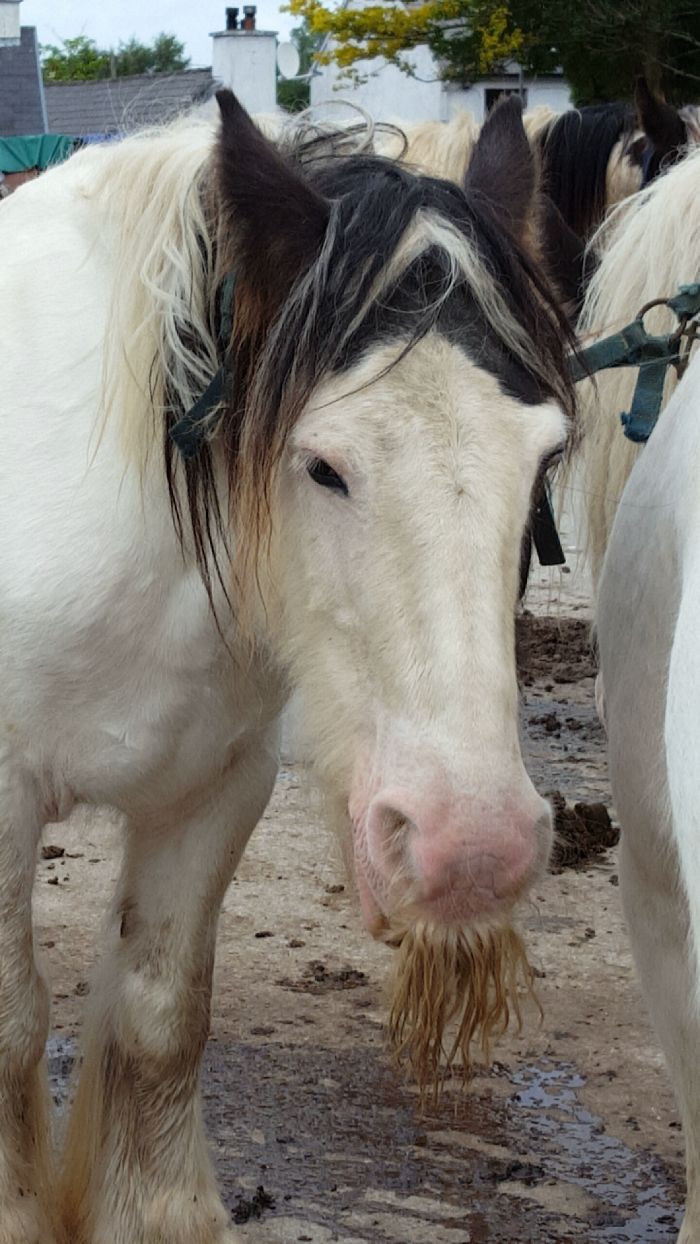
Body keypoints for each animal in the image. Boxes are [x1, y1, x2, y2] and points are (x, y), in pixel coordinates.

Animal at [0, 94, 574, 1244]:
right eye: (322, 465)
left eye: (544, 458)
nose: (472, 851)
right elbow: (8, 1027)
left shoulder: (216, 785)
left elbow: (162, 1015)